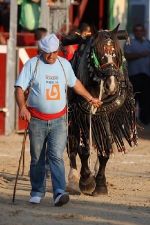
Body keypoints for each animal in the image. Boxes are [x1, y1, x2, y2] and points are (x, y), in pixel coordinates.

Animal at [65, 24, 138, 196]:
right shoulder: (80, 118)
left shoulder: (106, 117)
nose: (111, 85)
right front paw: (86, 181)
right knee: (72, 145)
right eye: (98, 54)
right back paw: (73, 176)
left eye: (117, 54)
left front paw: (100, 184)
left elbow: (105, 148)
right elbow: (82, 149)